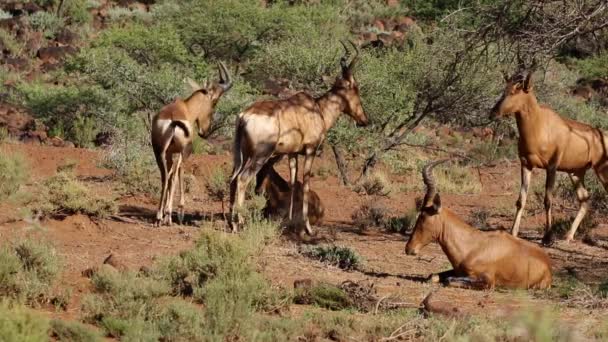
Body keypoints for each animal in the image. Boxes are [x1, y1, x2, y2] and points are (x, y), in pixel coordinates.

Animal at [152, 61, 233, 227]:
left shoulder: (169, 152)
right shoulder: (184, 152)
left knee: (165, 175)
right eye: (214, 102)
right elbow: (180, 173)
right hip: (183, 152)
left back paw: (158, 217)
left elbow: (169, 175)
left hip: (158, 151)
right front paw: (179, 212)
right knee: (175, 173)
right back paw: (169, 216)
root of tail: (172, 121)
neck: (185, 107)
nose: (205, 131)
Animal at [229, 39, 368, 232]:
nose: (364, 120)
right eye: (356, 88)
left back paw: (231, 222)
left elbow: (294, 184)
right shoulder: (310, 151)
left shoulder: (292, 154)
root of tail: (244, 116)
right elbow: (306, 183)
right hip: (260, 156)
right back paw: (239, 224)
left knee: (233, 179)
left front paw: (289, 221)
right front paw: (307, 227)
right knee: (243, 179)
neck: (317, 109)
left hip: (240, 155)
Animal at [406, 160, 552, 288]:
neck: (472, 245)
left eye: (423, 216)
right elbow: (433, 276)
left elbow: (449, 280)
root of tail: (547, 263)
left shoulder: (487, 281)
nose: (408, 248)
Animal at [492, 70, 608, 243]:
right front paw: (513, 232)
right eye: (504, 90)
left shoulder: (551, 167)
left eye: (515, 91)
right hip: (576, 173)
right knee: (584, 198)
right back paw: (568, 236)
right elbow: (521, 200)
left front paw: (547, 237)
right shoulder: (526, 165)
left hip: (601, 170)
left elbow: (548, 200)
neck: (539, 125)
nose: (493, 113)